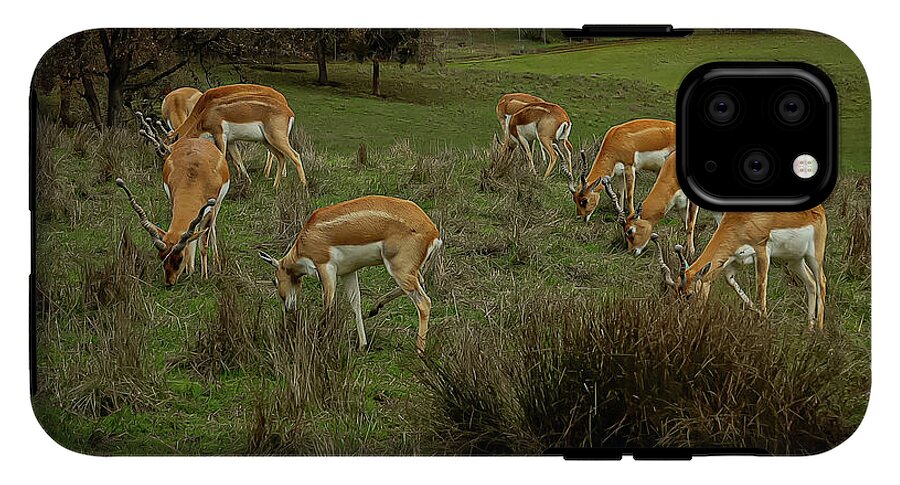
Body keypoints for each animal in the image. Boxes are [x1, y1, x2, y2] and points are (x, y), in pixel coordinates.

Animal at [115, 135, 230, 287]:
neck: (195, 177)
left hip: (217, 205)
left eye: (179, 258)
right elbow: (190, 238)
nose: (169, 283)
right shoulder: (173, 201)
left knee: (211, 228)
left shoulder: (210, 209)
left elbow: (203, 244)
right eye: (162, 257)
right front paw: (190, 271)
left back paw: (216, 261)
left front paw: (204, 277)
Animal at [170, 83, 306, 188]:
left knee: (295, 156)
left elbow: (222, 158)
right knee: (281, 157)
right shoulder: (231, 141)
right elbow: (238, 159)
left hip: (276, 139)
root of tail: (289, 111)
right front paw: (246, 181)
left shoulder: (220, 136)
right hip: (267, 141)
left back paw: (303, 186)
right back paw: (275, 186)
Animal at [258, 196, 442, 355]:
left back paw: (419, 350)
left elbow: (328, 305)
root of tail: (433, 232)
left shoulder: (325, 268)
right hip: (408, 271)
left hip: (399, 269)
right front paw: (362, 345)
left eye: (274, 281)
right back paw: (375, 308)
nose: (288, 308)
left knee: (424, 302)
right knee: (420, 283)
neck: (306, 238)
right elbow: (355, 303)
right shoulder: (348, 272)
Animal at [650, 206, 828, 330]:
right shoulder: (731, 262)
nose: (682, 320)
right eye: (675, 295)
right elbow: (732, 283)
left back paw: (819, 329)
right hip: (793, 260)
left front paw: (763, 321)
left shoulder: (762, 252)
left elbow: (760, 286)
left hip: (814, 256)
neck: (743, 219)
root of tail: (819, 210)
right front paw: (758, 314)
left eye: (689, 295)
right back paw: (809, 328)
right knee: (811, 282)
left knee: (822, 282)